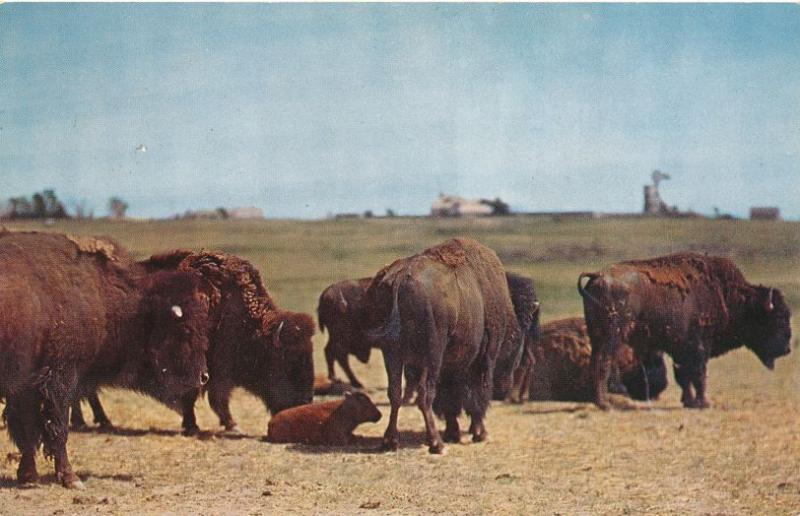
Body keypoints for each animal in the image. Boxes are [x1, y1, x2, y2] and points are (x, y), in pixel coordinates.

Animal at [0, 233, 212, 488]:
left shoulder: (26, 388)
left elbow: (27, 432)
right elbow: (57, 429)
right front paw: (71, 478)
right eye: (186, 329)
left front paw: (29, 476)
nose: (204, 376)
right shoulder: (60, 379)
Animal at [69, 250, 316, 436]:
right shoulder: (207, 368)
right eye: (289, 363)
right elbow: (205, 396)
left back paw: (94, 421)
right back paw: (91, 422)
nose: (304, 403)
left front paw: (223, 424)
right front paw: (205, 426)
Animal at [362, 238, 520, 452]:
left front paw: (454, 433)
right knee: (425, 395)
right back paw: (436, 443)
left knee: (395, 393)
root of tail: (399, 279)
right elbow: (475, 396)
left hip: (393, 354)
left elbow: (449, 401)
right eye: (513, 350)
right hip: (432, 354)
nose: (506, 388)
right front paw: (480, 434)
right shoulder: (481, 360)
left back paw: (391, 441)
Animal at [580, 252, 792, 410]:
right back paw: (605, 404)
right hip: (612, 337)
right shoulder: (699, 347)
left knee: (596, 361)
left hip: (598, 336)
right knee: (604, 362)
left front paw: (689, 402)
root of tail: (598, 277)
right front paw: (704, 403)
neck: (727, 294)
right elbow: (698, 374)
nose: (787, 349)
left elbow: (684, 376)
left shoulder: (680, 350)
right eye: (778, 318)